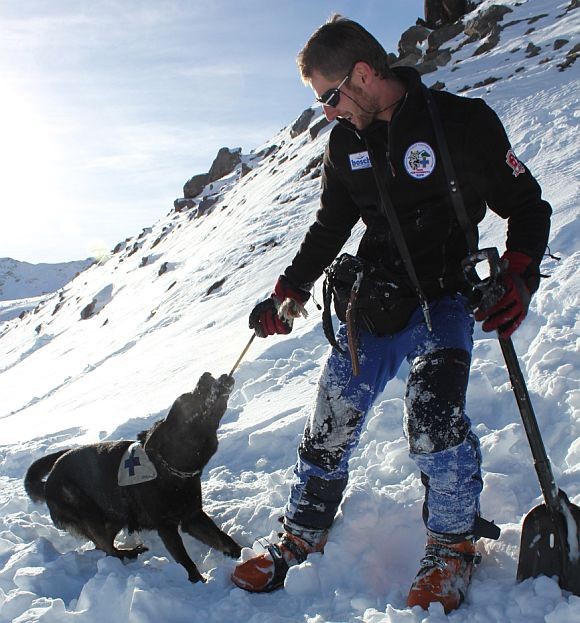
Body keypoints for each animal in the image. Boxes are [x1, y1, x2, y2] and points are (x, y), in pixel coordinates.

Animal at [24, 372, 241, 584]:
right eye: (190, 400)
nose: (206, 375)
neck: (170, 470)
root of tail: (48, 483)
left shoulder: (192, 517)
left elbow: (223, 539)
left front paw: (243, 553)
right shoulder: (166, 527)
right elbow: (184, 559)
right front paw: (198, 582)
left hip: (114, 515)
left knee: (103, 546)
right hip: (90, 515)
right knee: (107, 549)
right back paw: (128, 553)